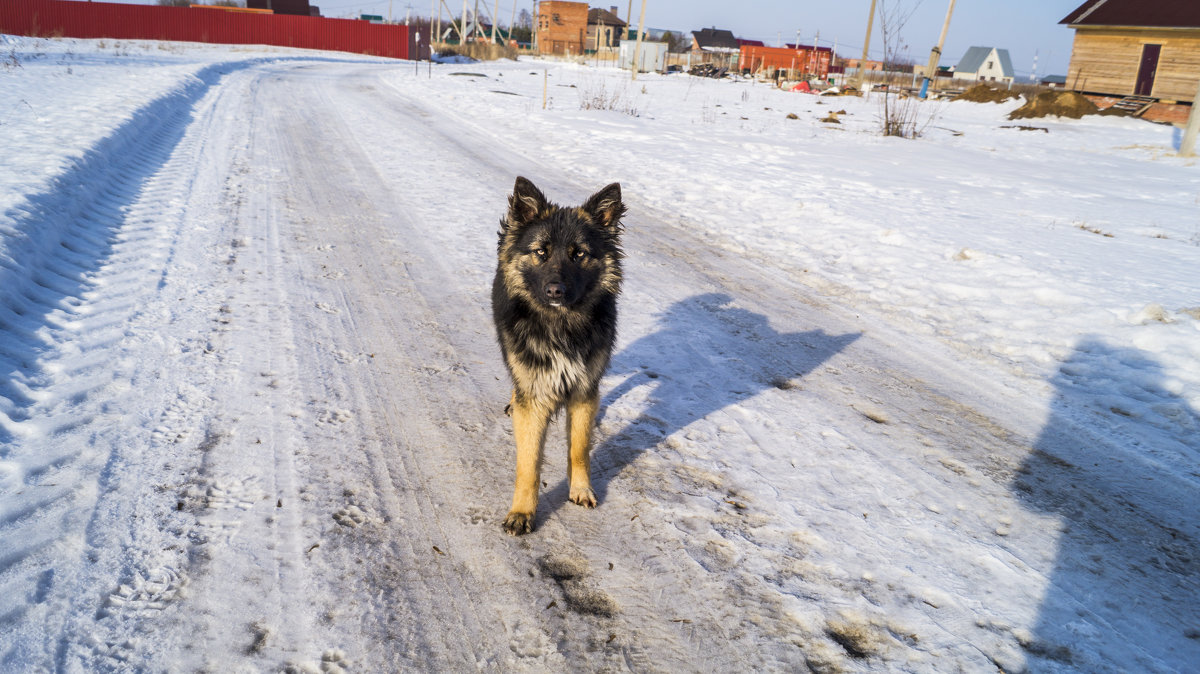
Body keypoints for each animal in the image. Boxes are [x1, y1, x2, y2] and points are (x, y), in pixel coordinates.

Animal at [492, 176, 628, 532]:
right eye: (541, 251)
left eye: (579, 254)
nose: (556, 291)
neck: (561, 325)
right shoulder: (534, 392)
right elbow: (529, 463)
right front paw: (522, 512)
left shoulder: (584, 390)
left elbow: (579, 448)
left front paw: (580, 488)